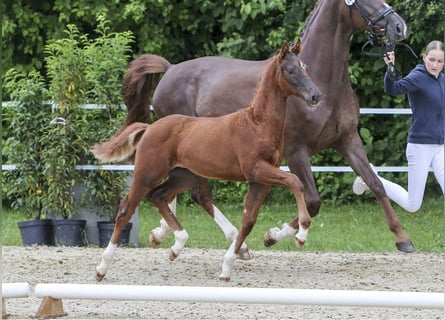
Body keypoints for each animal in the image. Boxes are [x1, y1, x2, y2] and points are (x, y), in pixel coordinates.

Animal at [93, 42, 320, 280]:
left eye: (305, 67)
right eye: (291, 70)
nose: (315, 96)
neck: (257, 124)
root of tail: (149, 128)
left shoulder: (261, 180)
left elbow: (248, 221)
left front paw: (227, 267)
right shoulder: (256, 170)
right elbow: (295, 181)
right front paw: (302, 234)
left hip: (183, 176)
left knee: (158, 196)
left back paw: (176, 245)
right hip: (147, 173)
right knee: (126, 210)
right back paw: (101, 268)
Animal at [119, 0, 414, 255]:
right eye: (362, 0)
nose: (400, 26)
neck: (323, 82)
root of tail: (169, 70)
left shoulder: (348, 140)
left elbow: (375, 183)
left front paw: (403, 239)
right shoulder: (296, 152)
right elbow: (313, 200)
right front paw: (274, 235)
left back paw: (163, 233)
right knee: (199, 193)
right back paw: (235, 243)